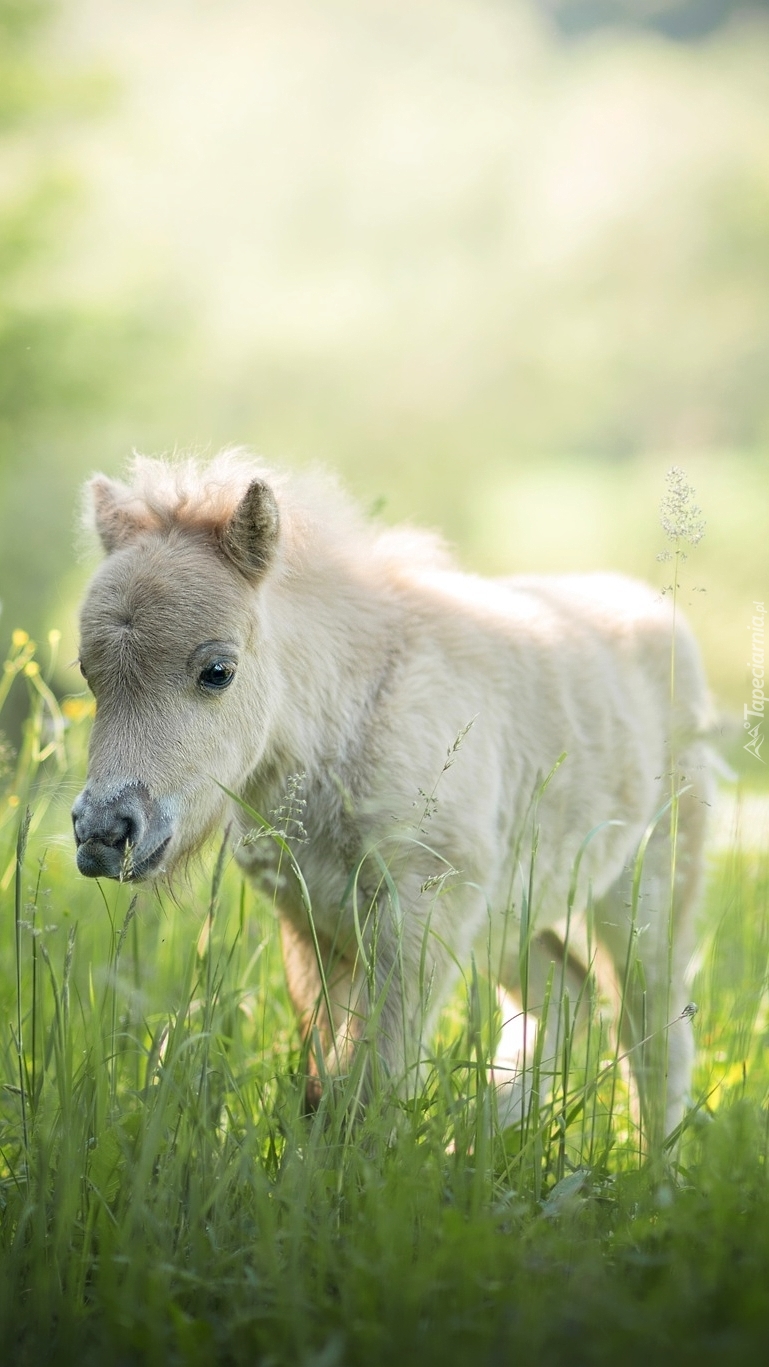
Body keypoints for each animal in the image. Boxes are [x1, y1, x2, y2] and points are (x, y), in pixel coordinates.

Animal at [72, 453, 710, 1137]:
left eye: (217, 671)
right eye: (89, 672)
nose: (104, 833)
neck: (354, 717)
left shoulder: (419, 921)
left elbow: (369, 1087)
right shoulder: (312, 926)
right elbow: (323, 1081)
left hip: (648, 895)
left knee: (654, 1033)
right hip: (510, 913)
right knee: (563, 999)